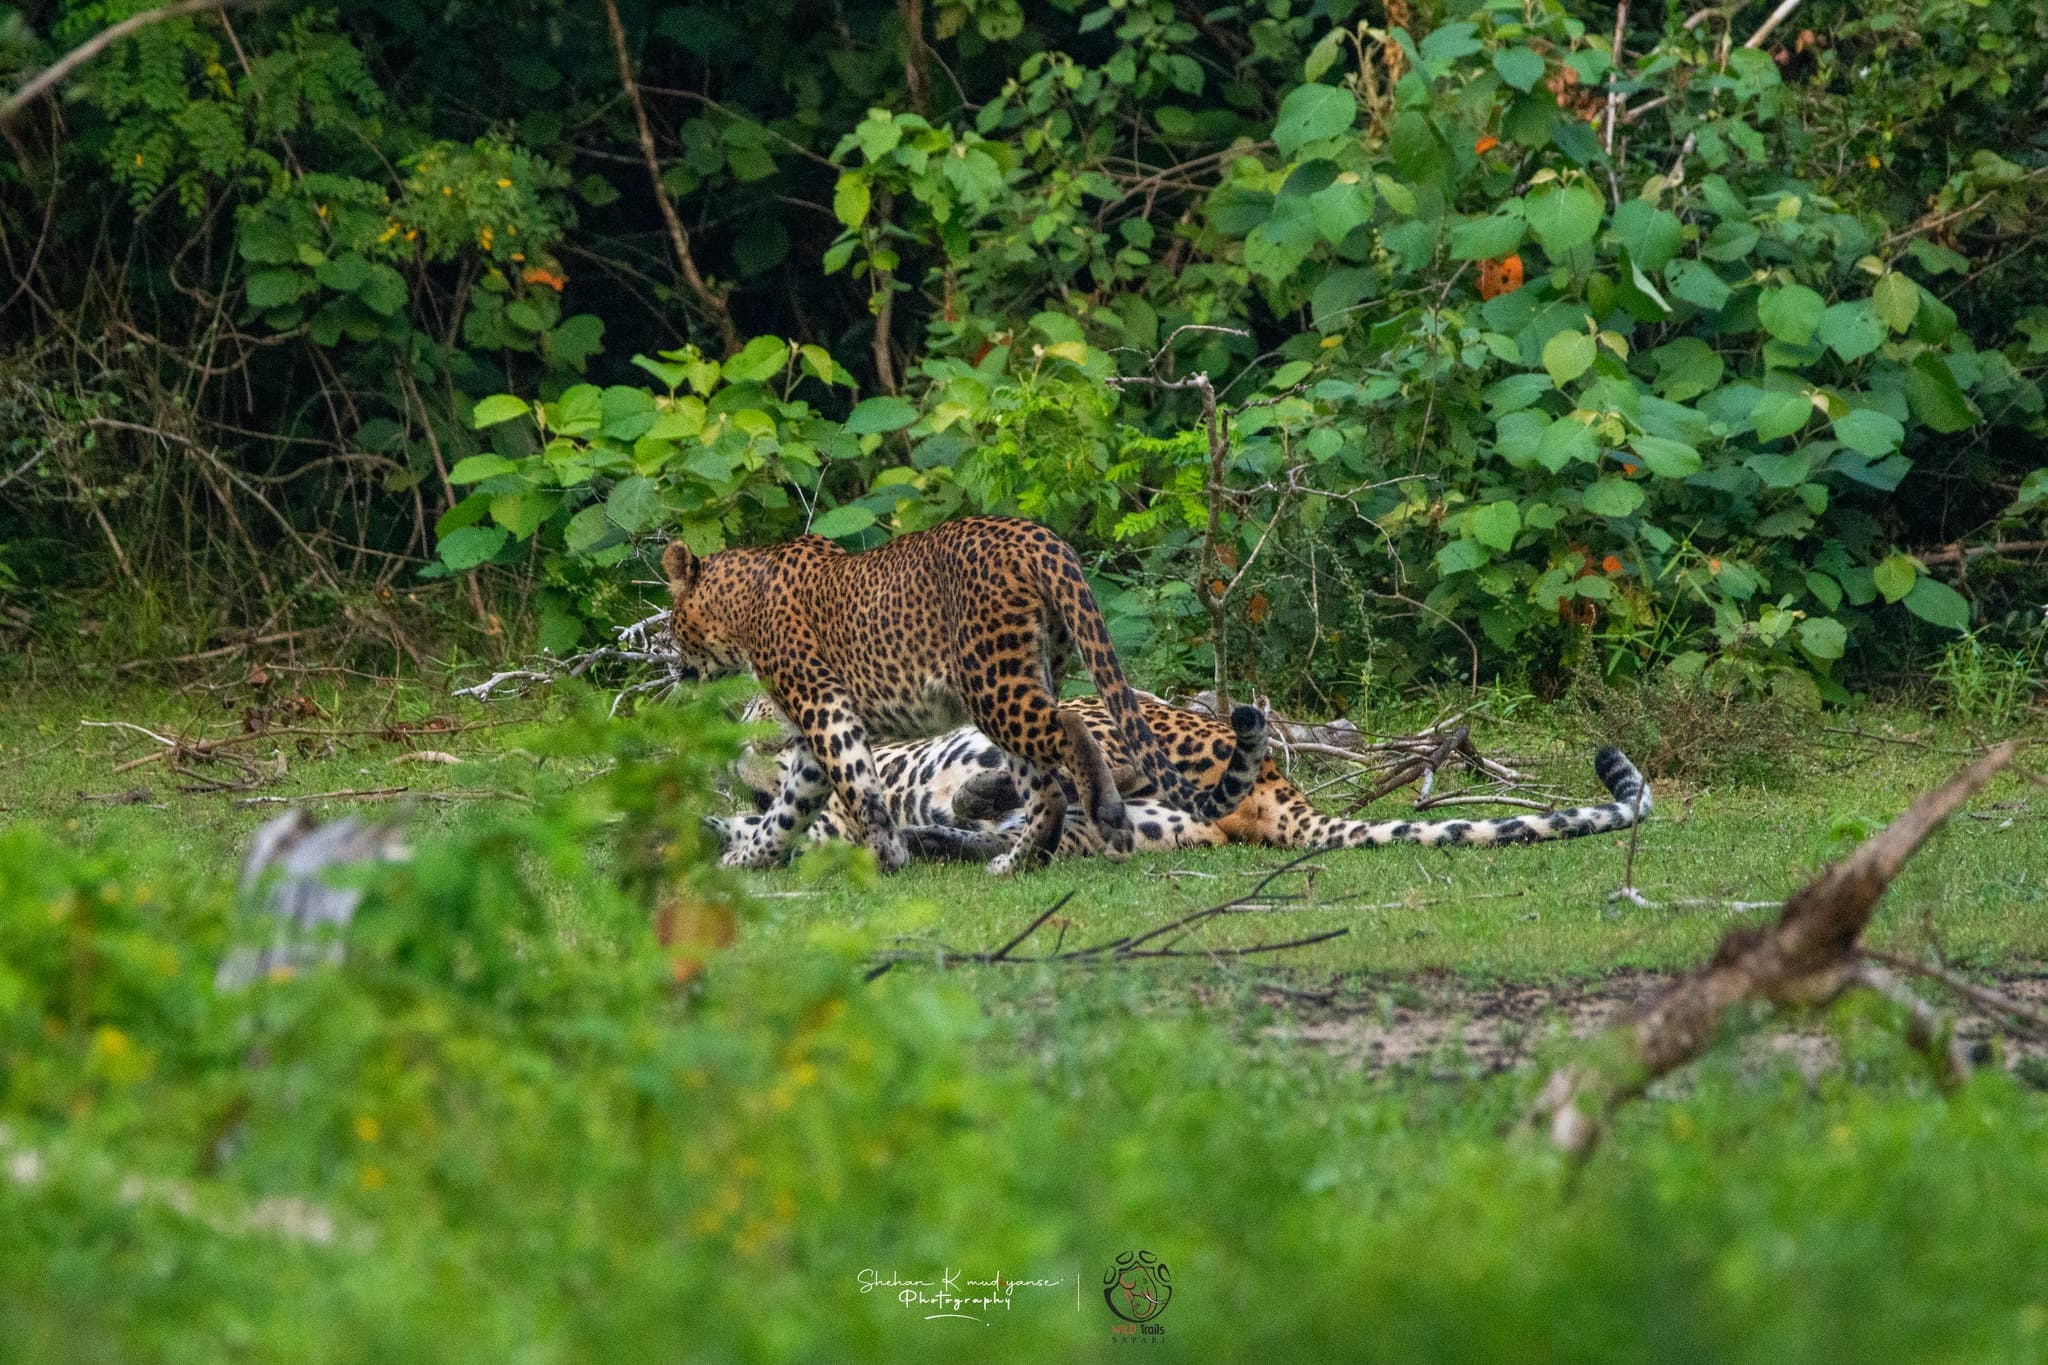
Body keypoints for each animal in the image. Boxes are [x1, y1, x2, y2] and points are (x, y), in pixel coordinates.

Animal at [662, 515, 1268, 874]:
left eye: (672, 621)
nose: (679, 672)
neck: (743, 599)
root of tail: (1035, 535)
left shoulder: (824, 710)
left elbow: (857, 792)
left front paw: (886, 857)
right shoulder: (817, 735)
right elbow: (789, 810)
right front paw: (745, 859)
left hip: (991, 684)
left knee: (1071, 735)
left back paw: (1104, 811)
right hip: (1025, 674)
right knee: (1044, 791)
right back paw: (1016, 863)